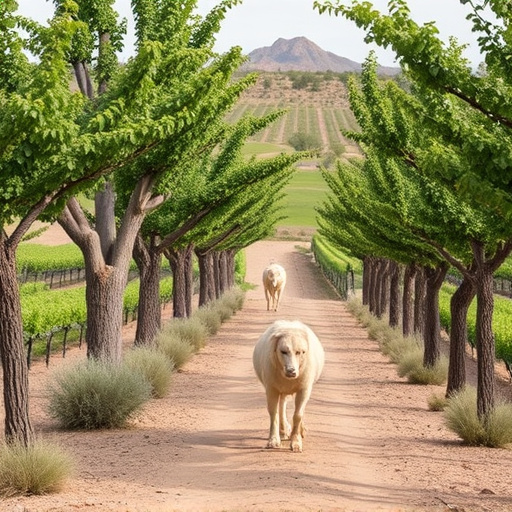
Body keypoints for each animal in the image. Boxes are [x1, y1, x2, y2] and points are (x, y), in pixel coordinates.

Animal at [252, 320, 324, 452]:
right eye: (283, 351)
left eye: (300, 352)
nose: (291, 371)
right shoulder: (271, 389)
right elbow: (274, 412)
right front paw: (273, 440)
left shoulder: (304, 389)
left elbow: (298, 415)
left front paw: (296, 442)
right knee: (281, 407)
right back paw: (283, 432)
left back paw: (299, 431)